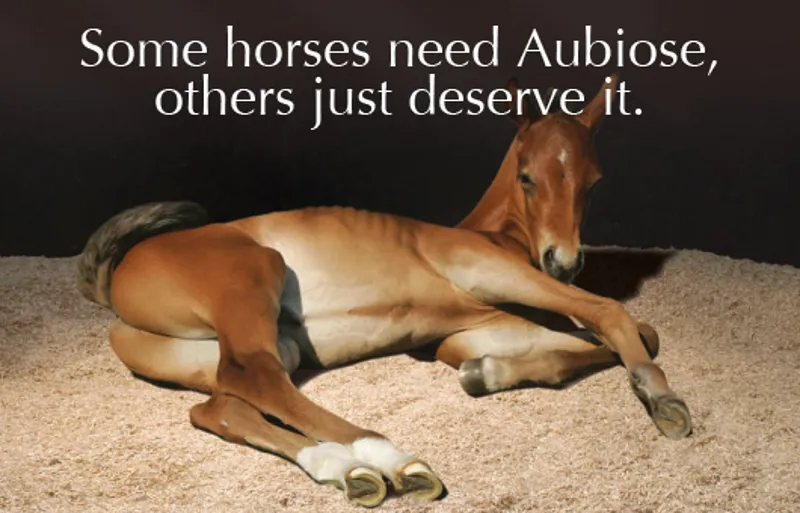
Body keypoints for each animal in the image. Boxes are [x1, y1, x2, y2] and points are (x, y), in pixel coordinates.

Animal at [76, 75, 691, 508]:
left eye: (593, 182)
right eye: (527, 177)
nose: (562, 262)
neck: (493, 235)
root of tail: (117, 280)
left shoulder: (473, 331)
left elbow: (605, 340)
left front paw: (485, 374)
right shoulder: (493, 274)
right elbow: (620, 318)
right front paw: (662, 399)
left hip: (233, 352)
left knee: (223, 405)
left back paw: (345, 470)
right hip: (256, 276)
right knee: (255, 377)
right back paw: (391, 459)